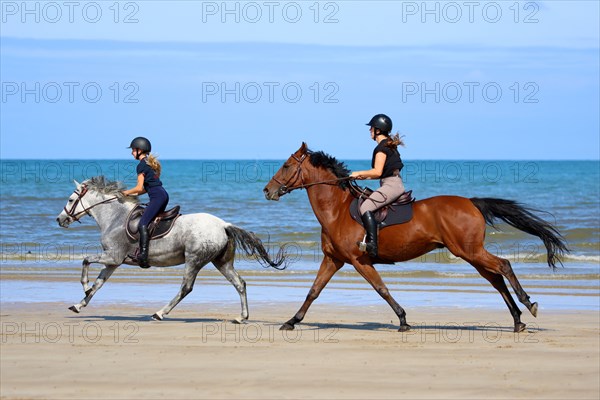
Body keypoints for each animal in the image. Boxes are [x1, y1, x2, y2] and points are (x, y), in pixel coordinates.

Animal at [57, 176, 288, 322]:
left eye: (70, 199)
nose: (60, 219)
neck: (115, 218)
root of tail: (223, 225)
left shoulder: (113, 256)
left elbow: (86, 260)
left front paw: (84, 286)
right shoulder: (113, 262)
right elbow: (99, 284)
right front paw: (79, 304)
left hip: (193, 260)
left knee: (186, 288)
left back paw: (159, 313)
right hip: (222, 262)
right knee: (239, 284)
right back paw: (241, 317)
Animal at [262, 143, 568, 332]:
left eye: (286, 166)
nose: (267, 191)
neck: (336, 210)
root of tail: (471, 202)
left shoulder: (359, 260)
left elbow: (381, 289)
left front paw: (403, 320)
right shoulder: (333, 259)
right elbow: (313, 291)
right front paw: (291, 321)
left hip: (468, 251)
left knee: (503, 266)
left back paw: (529, 305)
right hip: (470, 254)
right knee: (495, 279)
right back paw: (517, 320)